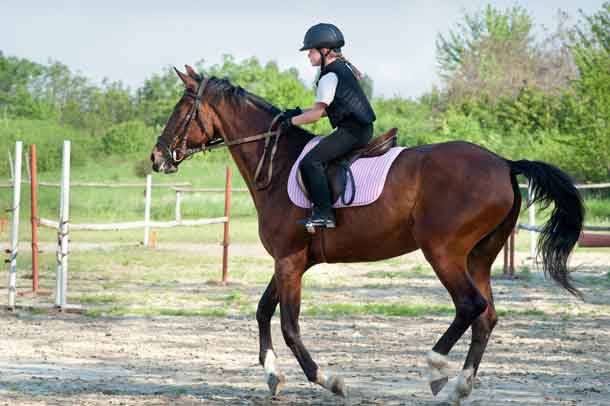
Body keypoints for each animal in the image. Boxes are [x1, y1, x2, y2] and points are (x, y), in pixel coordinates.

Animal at [150, 66, 580, 402]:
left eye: (181, 110)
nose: (156, 158)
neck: (278, 162)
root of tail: (505, 163)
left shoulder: (289, 260)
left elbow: (289, 325)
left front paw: (328, 380)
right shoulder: (290, 260)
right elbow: (262, 311)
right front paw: (272, 375)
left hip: (443, 252)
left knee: (469, 306)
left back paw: (435, 369)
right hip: (478, 257)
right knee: (486, 316)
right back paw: (460, 386)